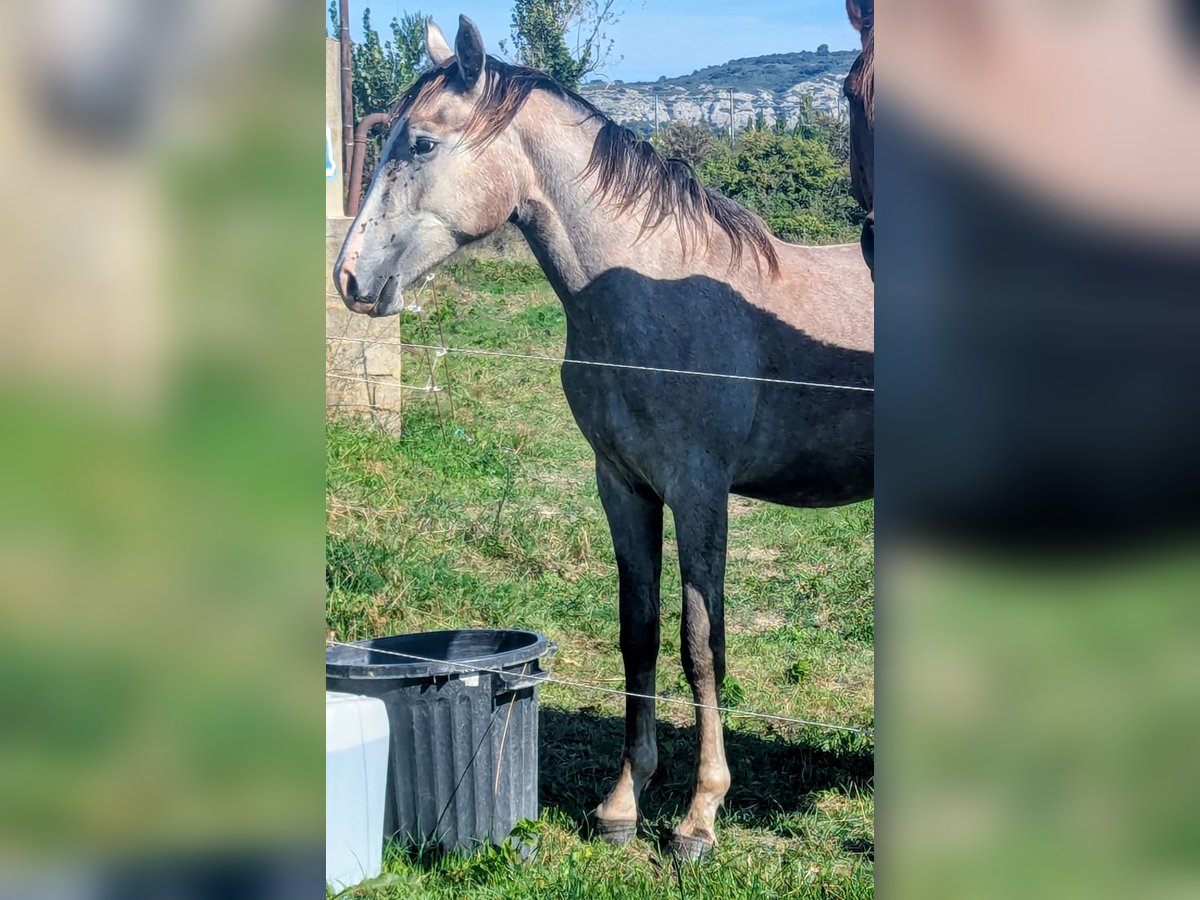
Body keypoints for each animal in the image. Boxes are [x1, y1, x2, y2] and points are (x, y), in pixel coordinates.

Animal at [333, 15, 874, 860]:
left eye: (420, 143)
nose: (350, 279)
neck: (644, 294)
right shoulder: (623, 485)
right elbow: (639, 634)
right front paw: (625, 801)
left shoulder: (699, 490)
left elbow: (701, 644)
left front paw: (699, 816)